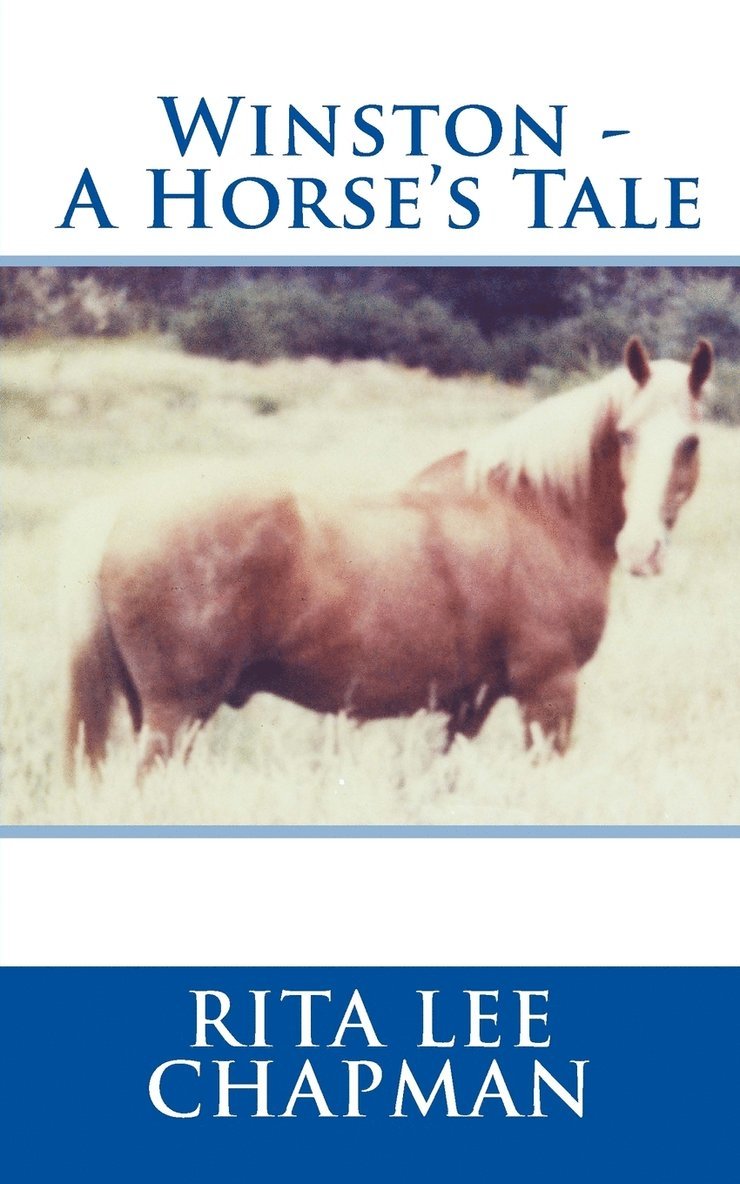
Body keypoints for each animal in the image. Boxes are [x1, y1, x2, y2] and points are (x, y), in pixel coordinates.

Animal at [62, 336, 712, 781]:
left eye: (690, 441)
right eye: (625, 435)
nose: (642, 549)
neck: (536, 509)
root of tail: (126, 513)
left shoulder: (464, 708)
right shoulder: (548, 694)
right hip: (174, 718)